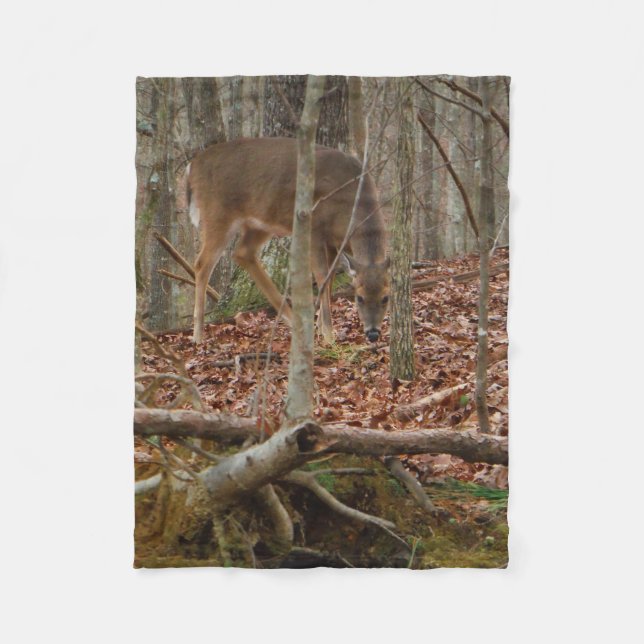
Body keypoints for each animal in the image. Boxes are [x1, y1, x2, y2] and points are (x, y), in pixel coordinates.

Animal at [186, 137, 390, 345]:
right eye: (359, 297)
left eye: (386, 297)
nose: (373, 333)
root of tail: (192, 166)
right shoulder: (315, 229)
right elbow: (322, 276)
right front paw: (328, 335)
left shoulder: (334, 242)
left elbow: (331, 275)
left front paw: (319, 327)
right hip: (217, 213)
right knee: (202, 264)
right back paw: (197, 335)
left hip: (260, 222)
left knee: (242, 253)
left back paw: (294, 321)